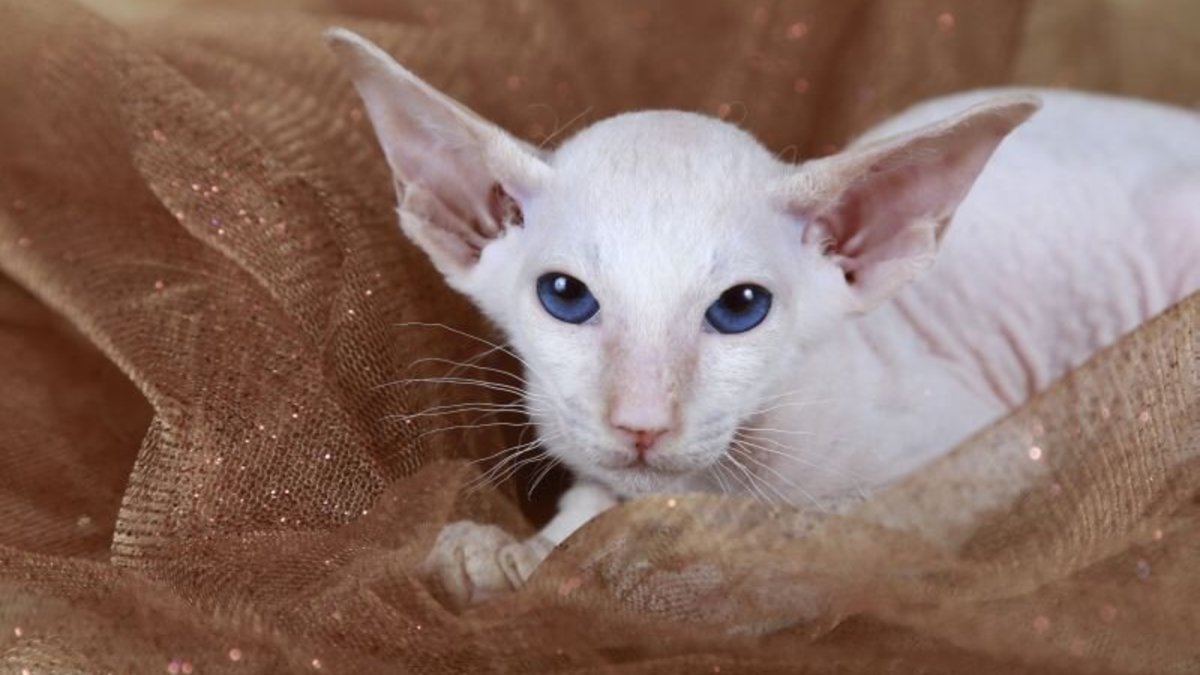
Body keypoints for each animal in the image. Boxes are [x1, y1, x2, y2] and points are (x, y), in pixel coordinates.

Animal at [328, 27, 1200, 605]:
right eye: (565, 296)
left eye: (740, 308)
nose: (641, 421)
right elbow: (589, 511)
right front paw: (506, 557)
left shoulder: (992, 452)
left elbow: (841, 529)